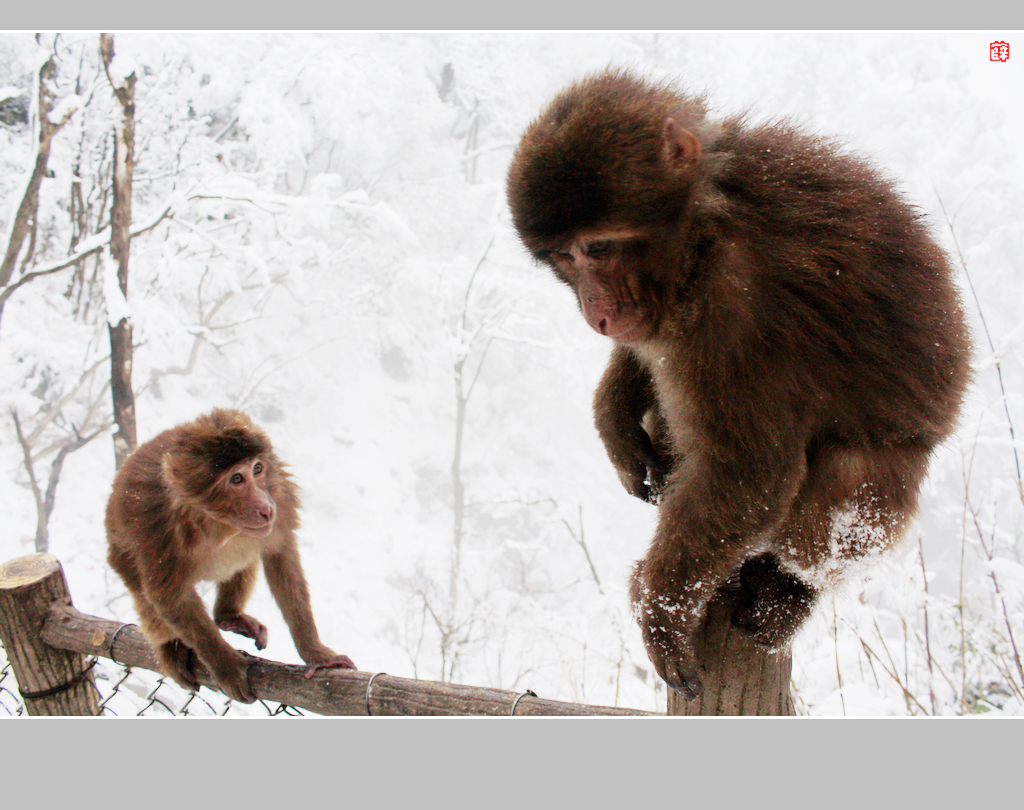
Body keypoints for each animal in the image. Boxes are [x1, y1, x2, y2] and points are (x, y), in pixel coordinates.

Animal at [107, 411, 356, 704]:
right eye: (236, 479)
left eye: (257, 469)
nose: (265, 509)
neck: (219, 522)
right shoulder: (155, 523)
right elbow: (169, 597)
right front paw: (227, 668)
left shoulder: (280, 498)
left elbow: (281, 557)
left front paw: (315, 653)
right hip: (119, 555)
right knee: (144, 594)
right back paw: (170, 648)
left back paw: (228, 616)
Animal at [507, 69, 970, 700]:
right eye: (564, 257)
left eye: (598, 248)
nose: (595, 312)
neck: (704, 225)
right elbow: (652, 358)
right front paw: (613, 416)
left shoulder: (736, 315)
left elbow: (749, 476)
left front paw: (661, 610)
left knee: (845, 491)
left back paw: (788, 590)